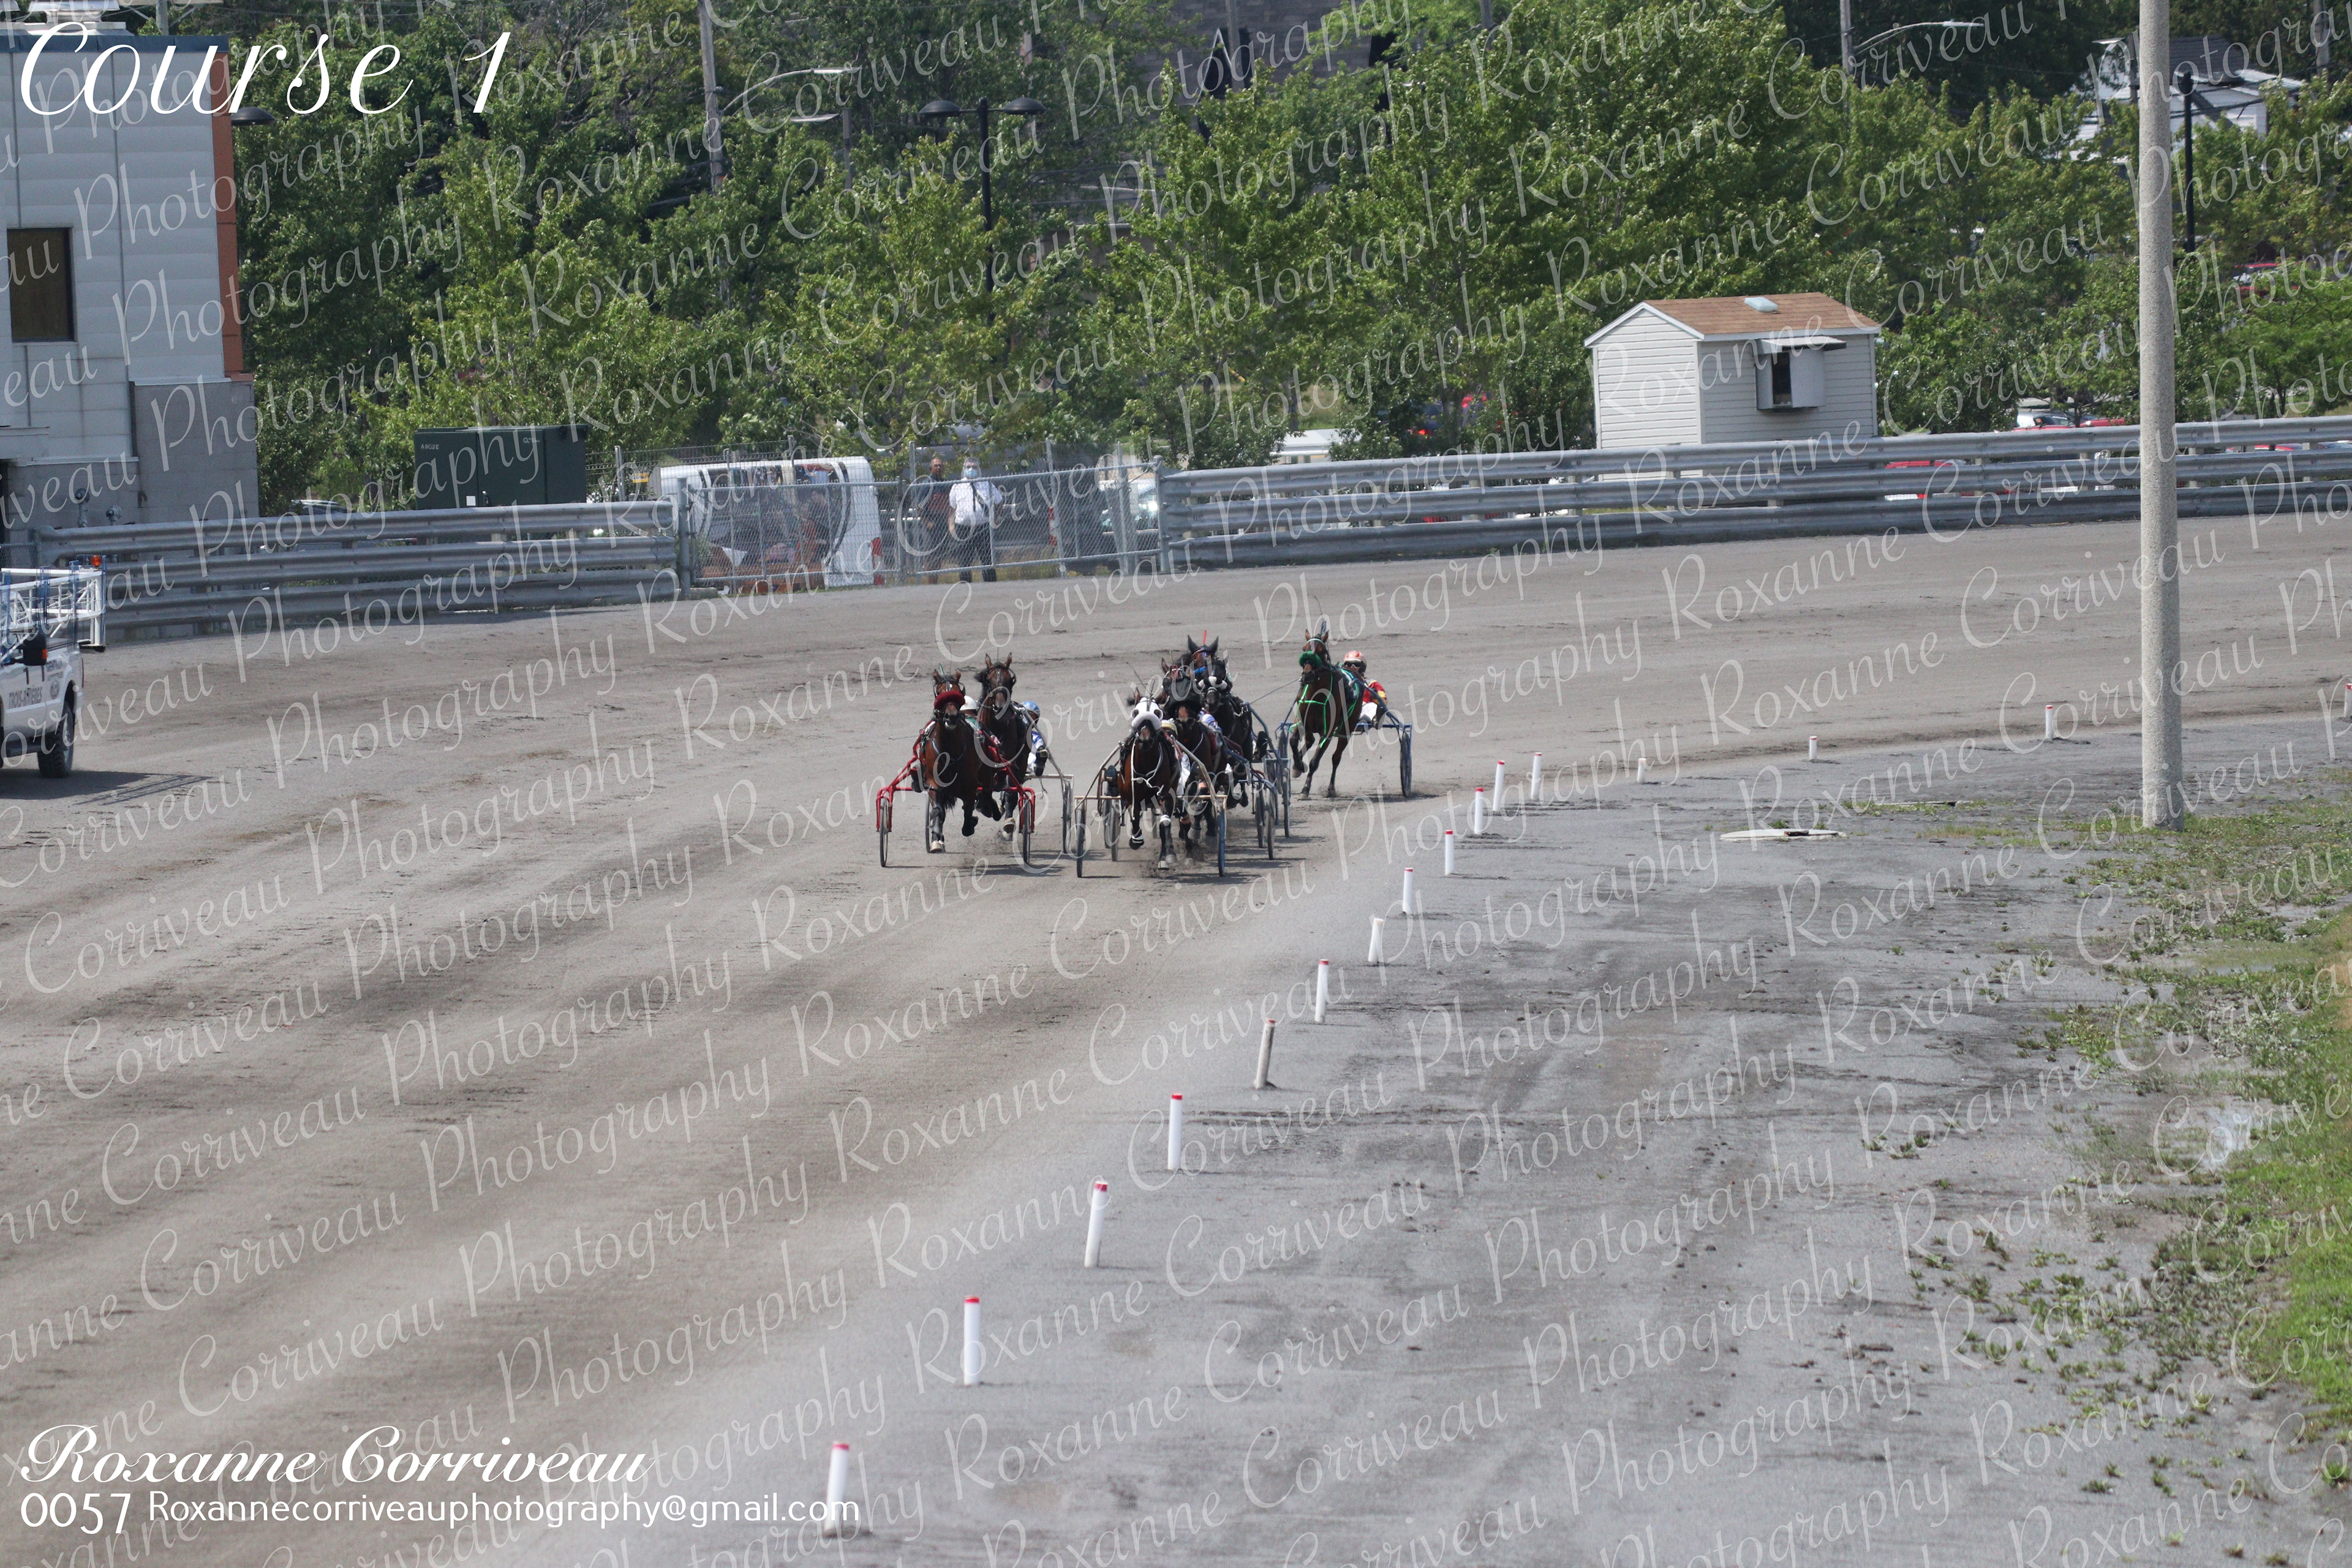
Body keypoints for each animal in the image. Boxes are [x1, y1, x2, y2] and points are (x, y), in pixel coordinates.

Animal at [917, 668, 989, 852]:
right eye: (939, 693)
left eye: (957, 692)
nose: (952, 716)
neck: (949, 750)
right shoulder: (934, 782)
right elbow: (937, 811)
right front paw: (936, 838)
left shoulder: (970, 783)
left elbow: (969, 805)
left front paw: (970, 825)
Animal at [1291, 622, 1353, 798]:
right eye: (1304, 649)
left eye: (1322, 652)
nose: (1307, 675)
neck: (1317, 696)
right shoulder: (1301, 720)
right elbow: (1293, 741)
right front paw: (1297, 766)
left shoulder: (1328, 733)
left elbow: (1315, 762)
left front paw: (1306, 789)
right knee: (1309, 741)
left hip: (1346, 731)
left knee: (1336, 758)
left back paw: (1331, 788)